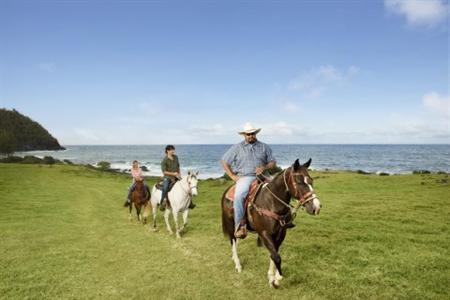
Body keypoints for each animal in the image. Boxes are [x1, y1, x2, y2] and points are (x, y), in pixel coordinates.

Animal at [221, 158, 320, 288]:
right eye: (299, 182)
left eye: (311, 181)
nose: (316, 207)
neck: (271, 202)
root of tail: (227, 191)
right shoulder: (264, 233)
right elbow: (276, 257)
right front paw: (276, 279)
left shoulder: (281, 234)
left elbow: (274, 254)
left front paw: (273, 277)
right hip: (231, 224)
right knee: (233, 240)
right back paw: (237, 264)